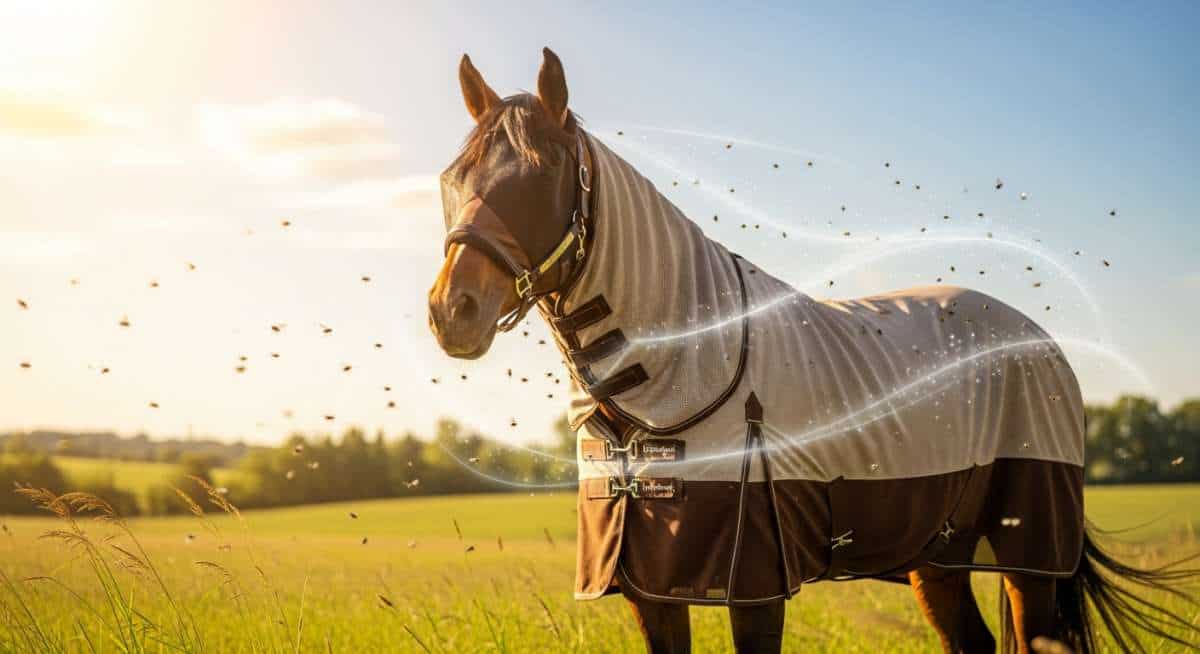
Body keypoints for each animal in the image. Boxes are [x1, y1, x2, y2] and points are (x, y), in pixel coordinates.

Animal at [428, 48, 1199, 654]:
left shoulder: (755, 589)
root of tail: (1044, 347)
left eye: (540, 175)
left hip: (1028, 558)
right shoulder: (652, 592)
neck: (668, 383)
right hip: (939, 559)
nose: (449, 312)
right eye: (453, 180)